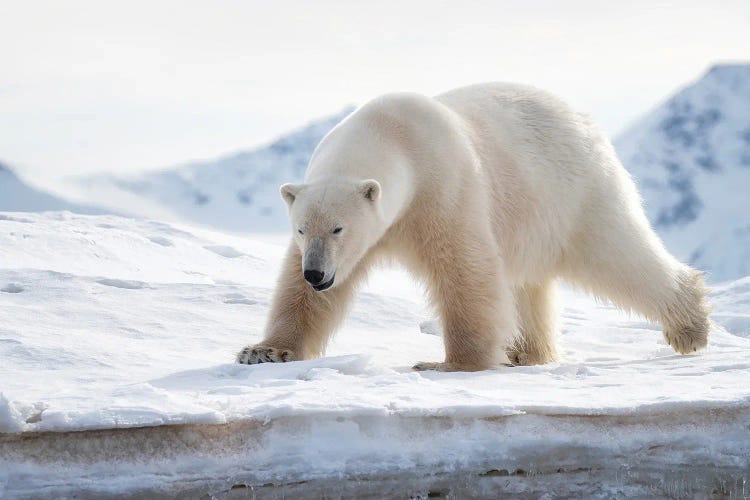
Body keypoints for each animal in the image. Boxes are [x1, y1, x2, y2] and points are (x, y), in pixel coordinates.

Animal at [238, 83, 712, 372]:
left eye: (338, 229)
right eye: (302, 230)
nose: (317, 273)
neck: (390, 135)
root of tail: (580, 117)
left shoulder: (443, 187)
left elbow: (464, 269)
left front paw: (450, 363)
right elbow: (298, 293)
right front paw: (263, 351)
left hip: (576, 193)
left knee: (617, 254)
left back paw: (689, 327)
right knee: (526, 284)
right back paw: (526, 353)